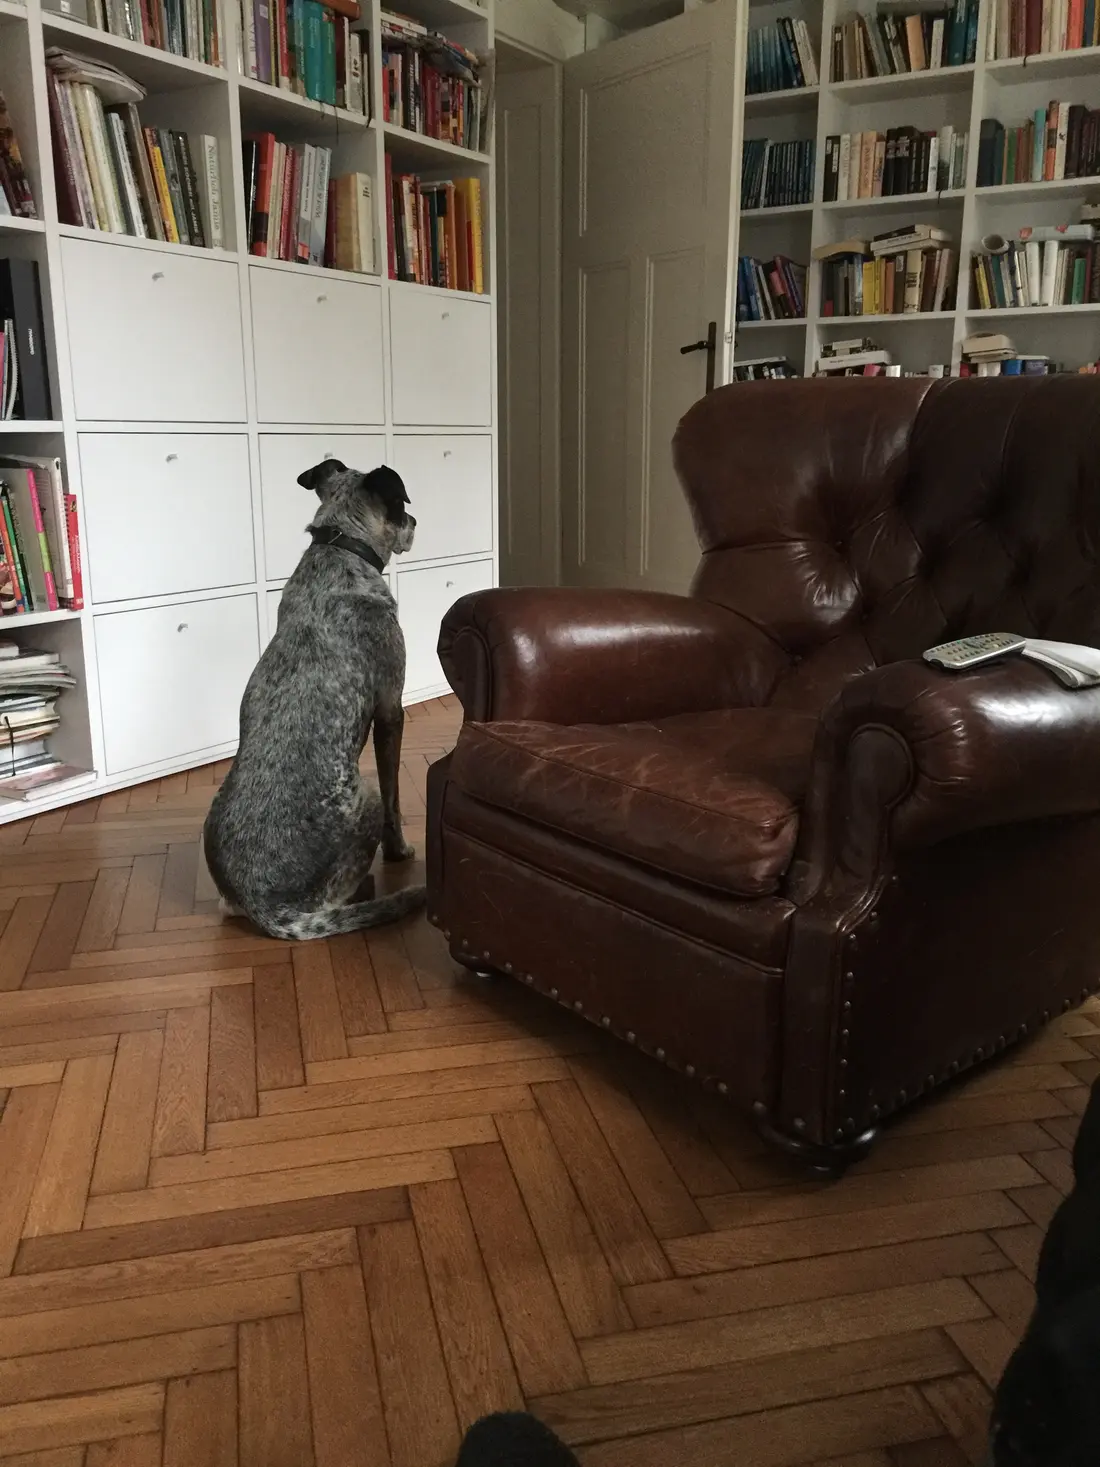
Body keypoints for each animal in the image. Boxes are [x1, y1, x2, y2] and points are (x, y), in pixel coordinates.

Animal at [205, 457, 428, 938]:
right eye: (401, 505)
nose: (416, 522)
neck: (341, 548)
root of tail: (268, 909)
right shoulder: (391, 709)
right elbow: (396, 799)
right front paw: (401, 851)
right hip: (365, 797)